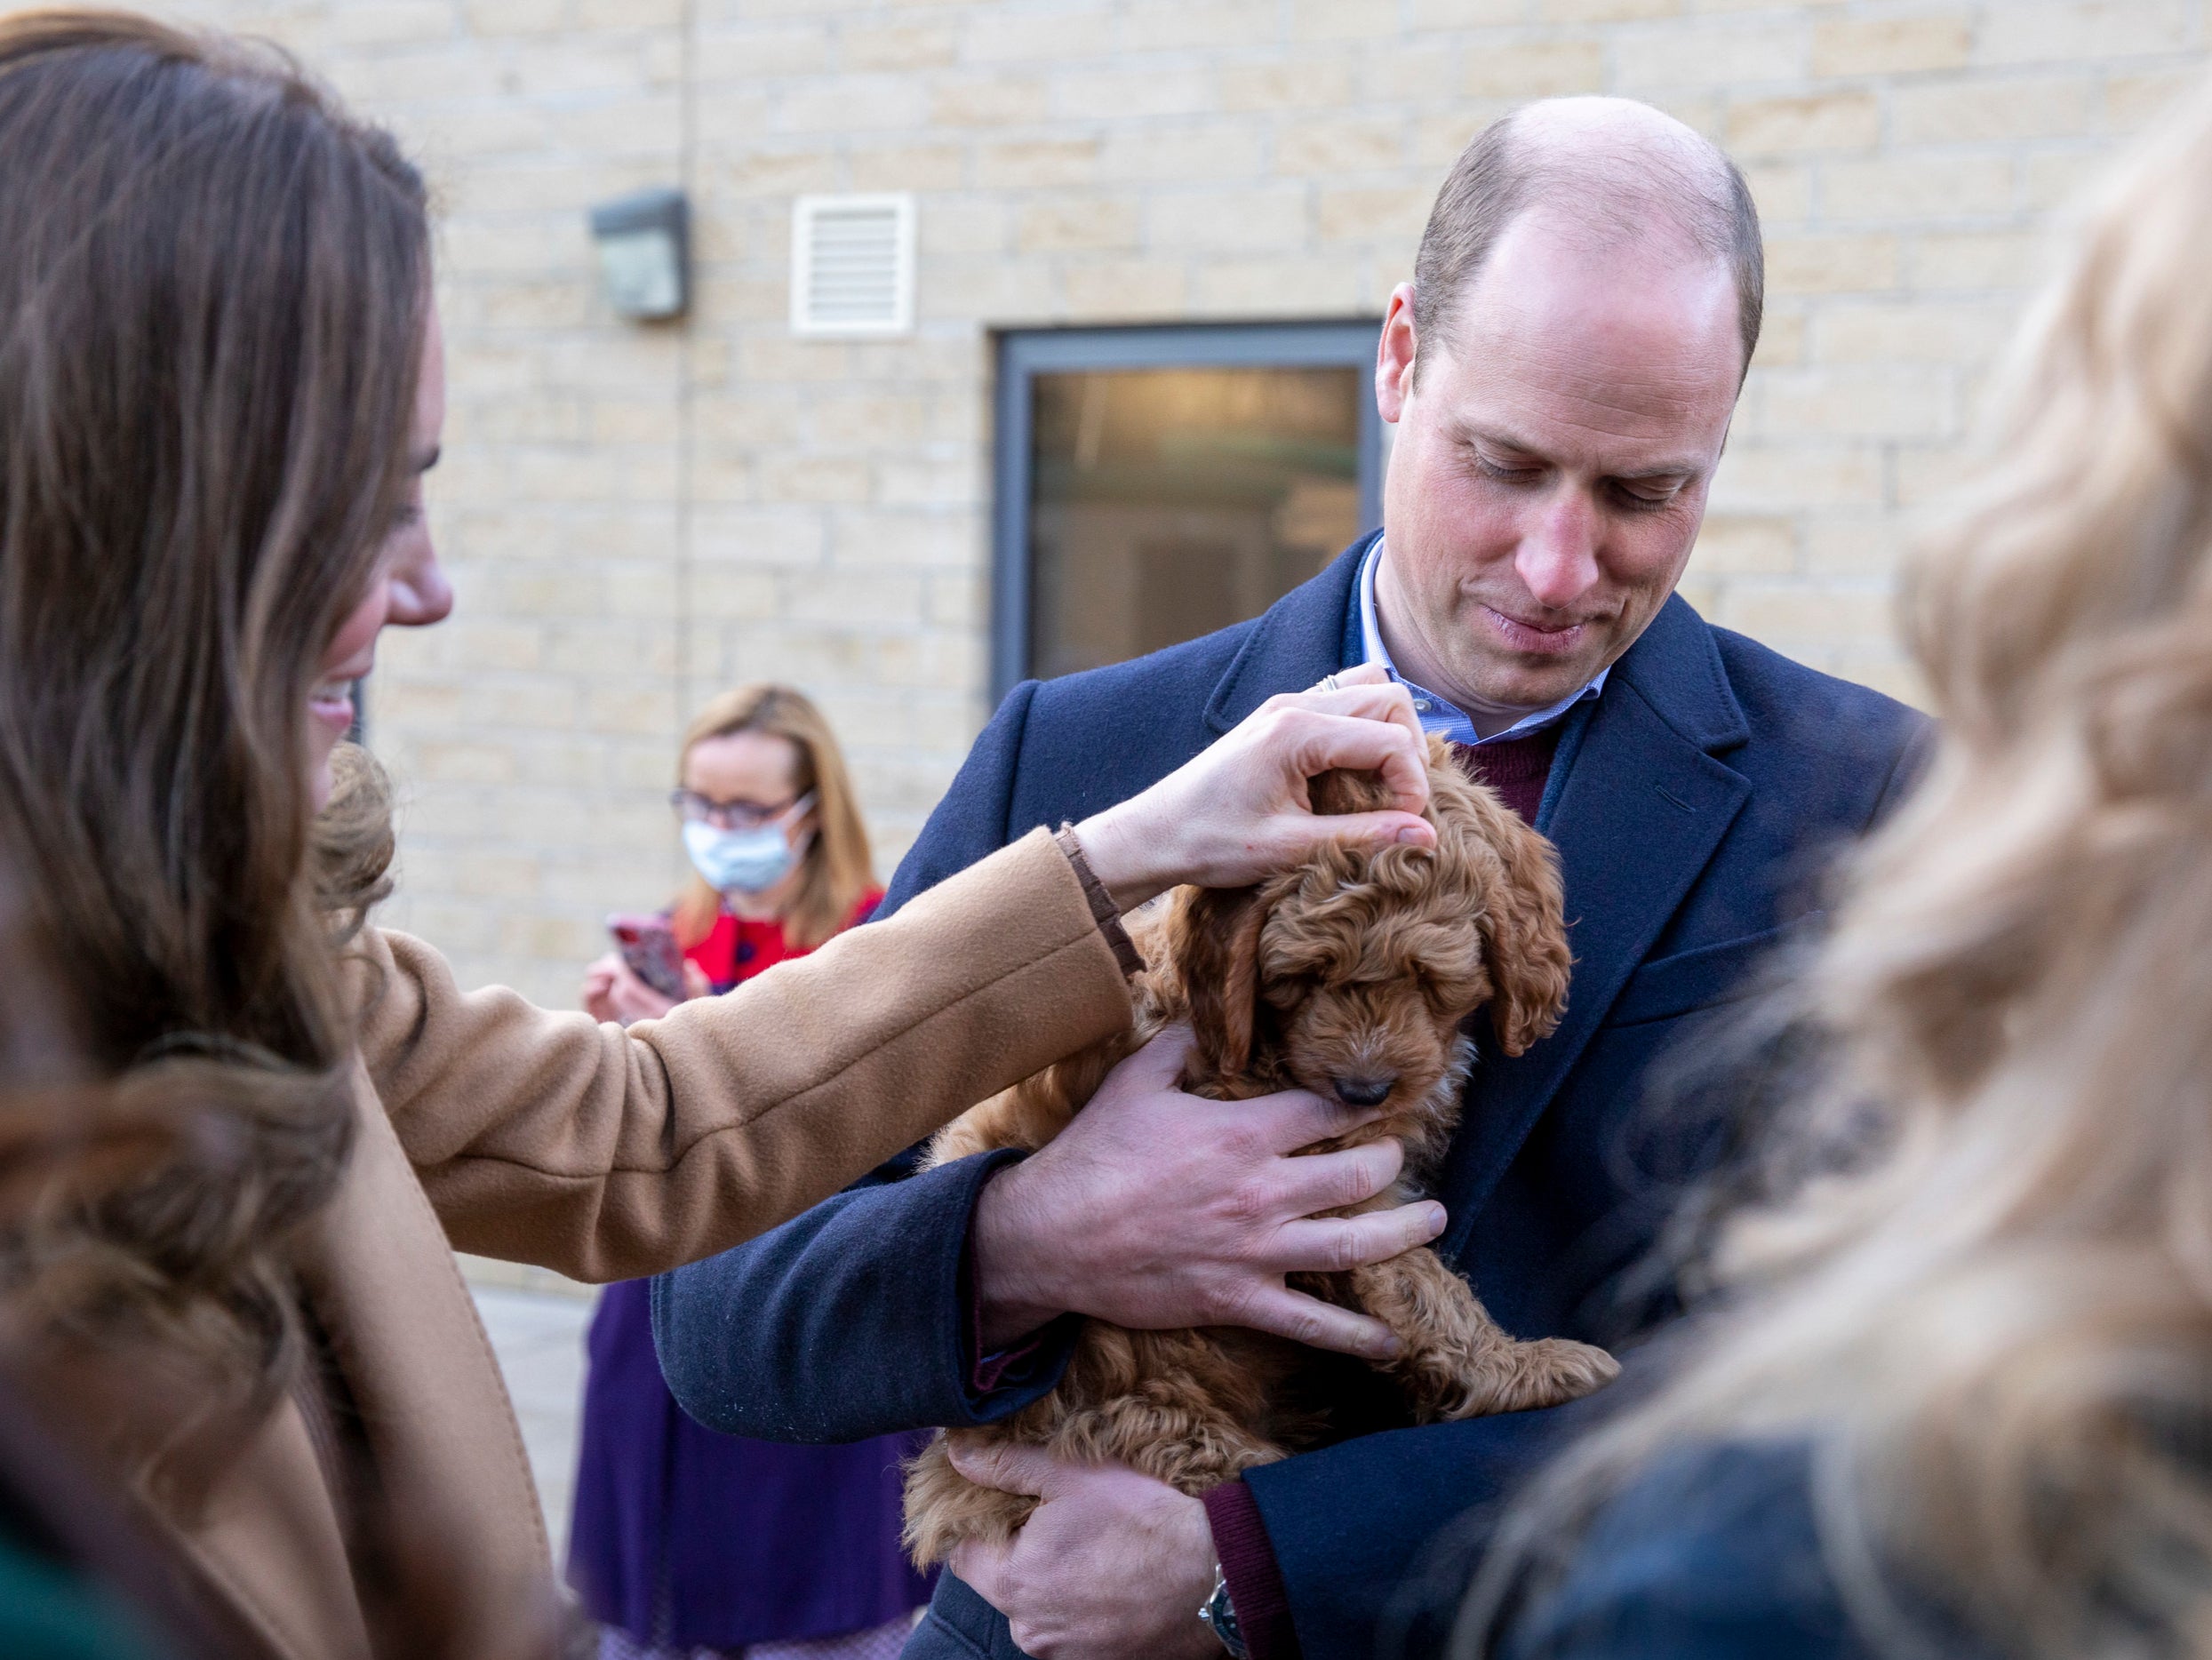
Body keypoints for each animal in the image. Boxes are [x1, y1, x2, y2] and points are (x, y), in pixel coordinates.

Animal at [902, 738, 1627, 1573]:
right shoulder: (1308, 1180)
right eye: (1303, 978)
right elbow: (1418, 1283)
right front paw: (1523, 1368)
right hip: (1127, 1410)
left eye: (1429, 977)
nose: (1363, 1088)